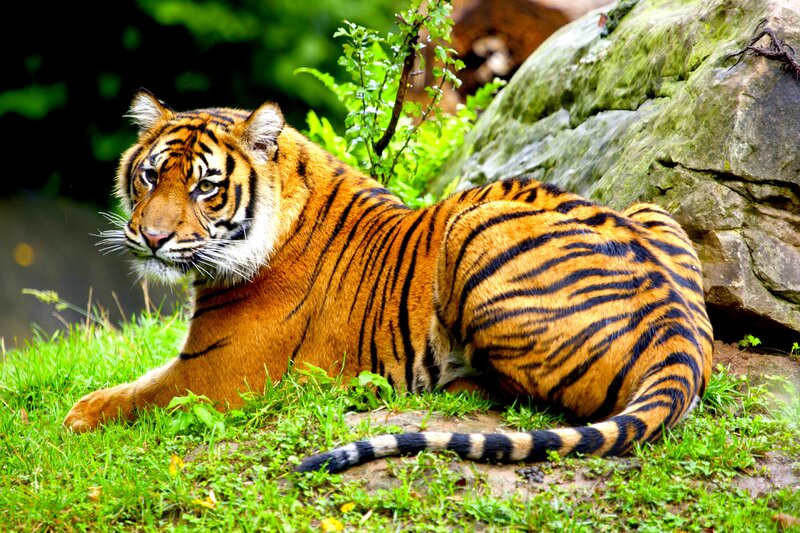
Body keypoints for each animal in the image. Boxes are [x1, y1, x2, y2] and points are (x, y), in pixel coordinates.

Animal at [64, 89, 714, 475]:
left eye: (204, 186)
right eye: (150, 176)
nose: (150, 237)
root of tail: (679, 333)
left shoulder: (217, 373)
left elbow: (131, 395)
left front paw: (74, 417)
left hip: (471, 226)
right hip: (651, 207)